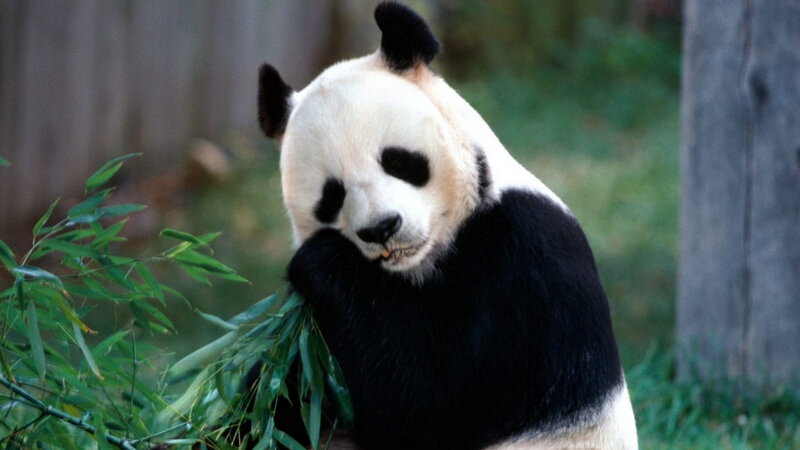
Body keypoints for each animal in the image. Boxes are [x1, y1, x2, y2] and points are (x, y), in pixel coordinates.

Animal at [257, 2, 638, 449]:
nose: (382, 228)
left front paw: (320, 260)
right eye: (332, 195)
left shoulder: (527, 261)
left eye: (398, 161)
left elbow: (427, 402)